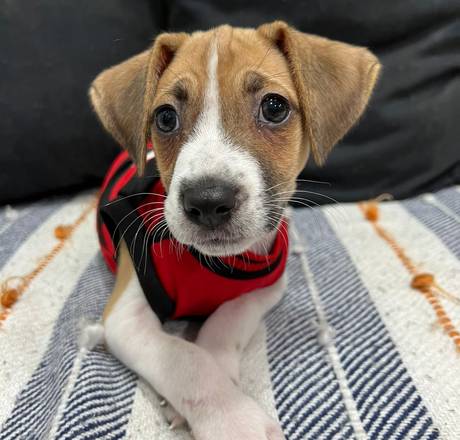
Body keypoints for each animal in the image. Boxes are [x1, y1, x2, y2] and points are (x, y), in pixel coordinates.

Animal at [89, 21, 380, 439]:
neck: (217, 263)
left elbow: (225, 322)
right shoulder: (125, 316)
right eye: (165, 117)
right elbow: (184, 358)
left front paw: (220, 369)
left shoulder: (267, 286)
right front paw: (234, 419)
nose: (208, 201)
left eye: (274, 107)